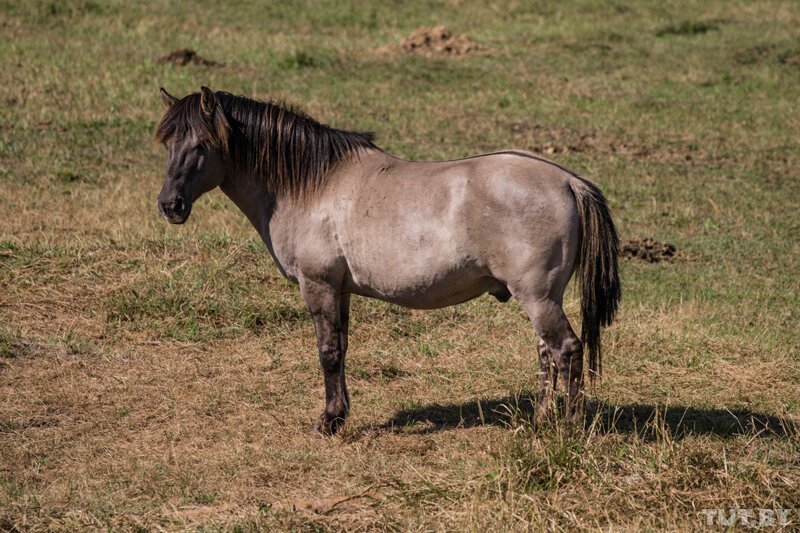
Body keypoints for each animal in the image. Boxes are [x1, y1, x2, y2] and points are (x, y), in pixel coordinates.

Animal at [153, 87, 620, 434]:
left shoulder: (318, 285)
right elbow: (341, 348)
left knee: (566, 350)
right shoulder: (340, 290)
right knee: (546, 352)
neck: (312, 185)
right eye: (168, 144)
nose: (169, 205)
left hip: (538, 297)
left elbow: (326, 351)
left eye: (201, 145)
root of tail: (567, 181)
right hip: (541, 298)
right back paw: (540, 419)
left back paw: (568, 428)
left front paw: (327, 423)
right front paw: (340, 414)